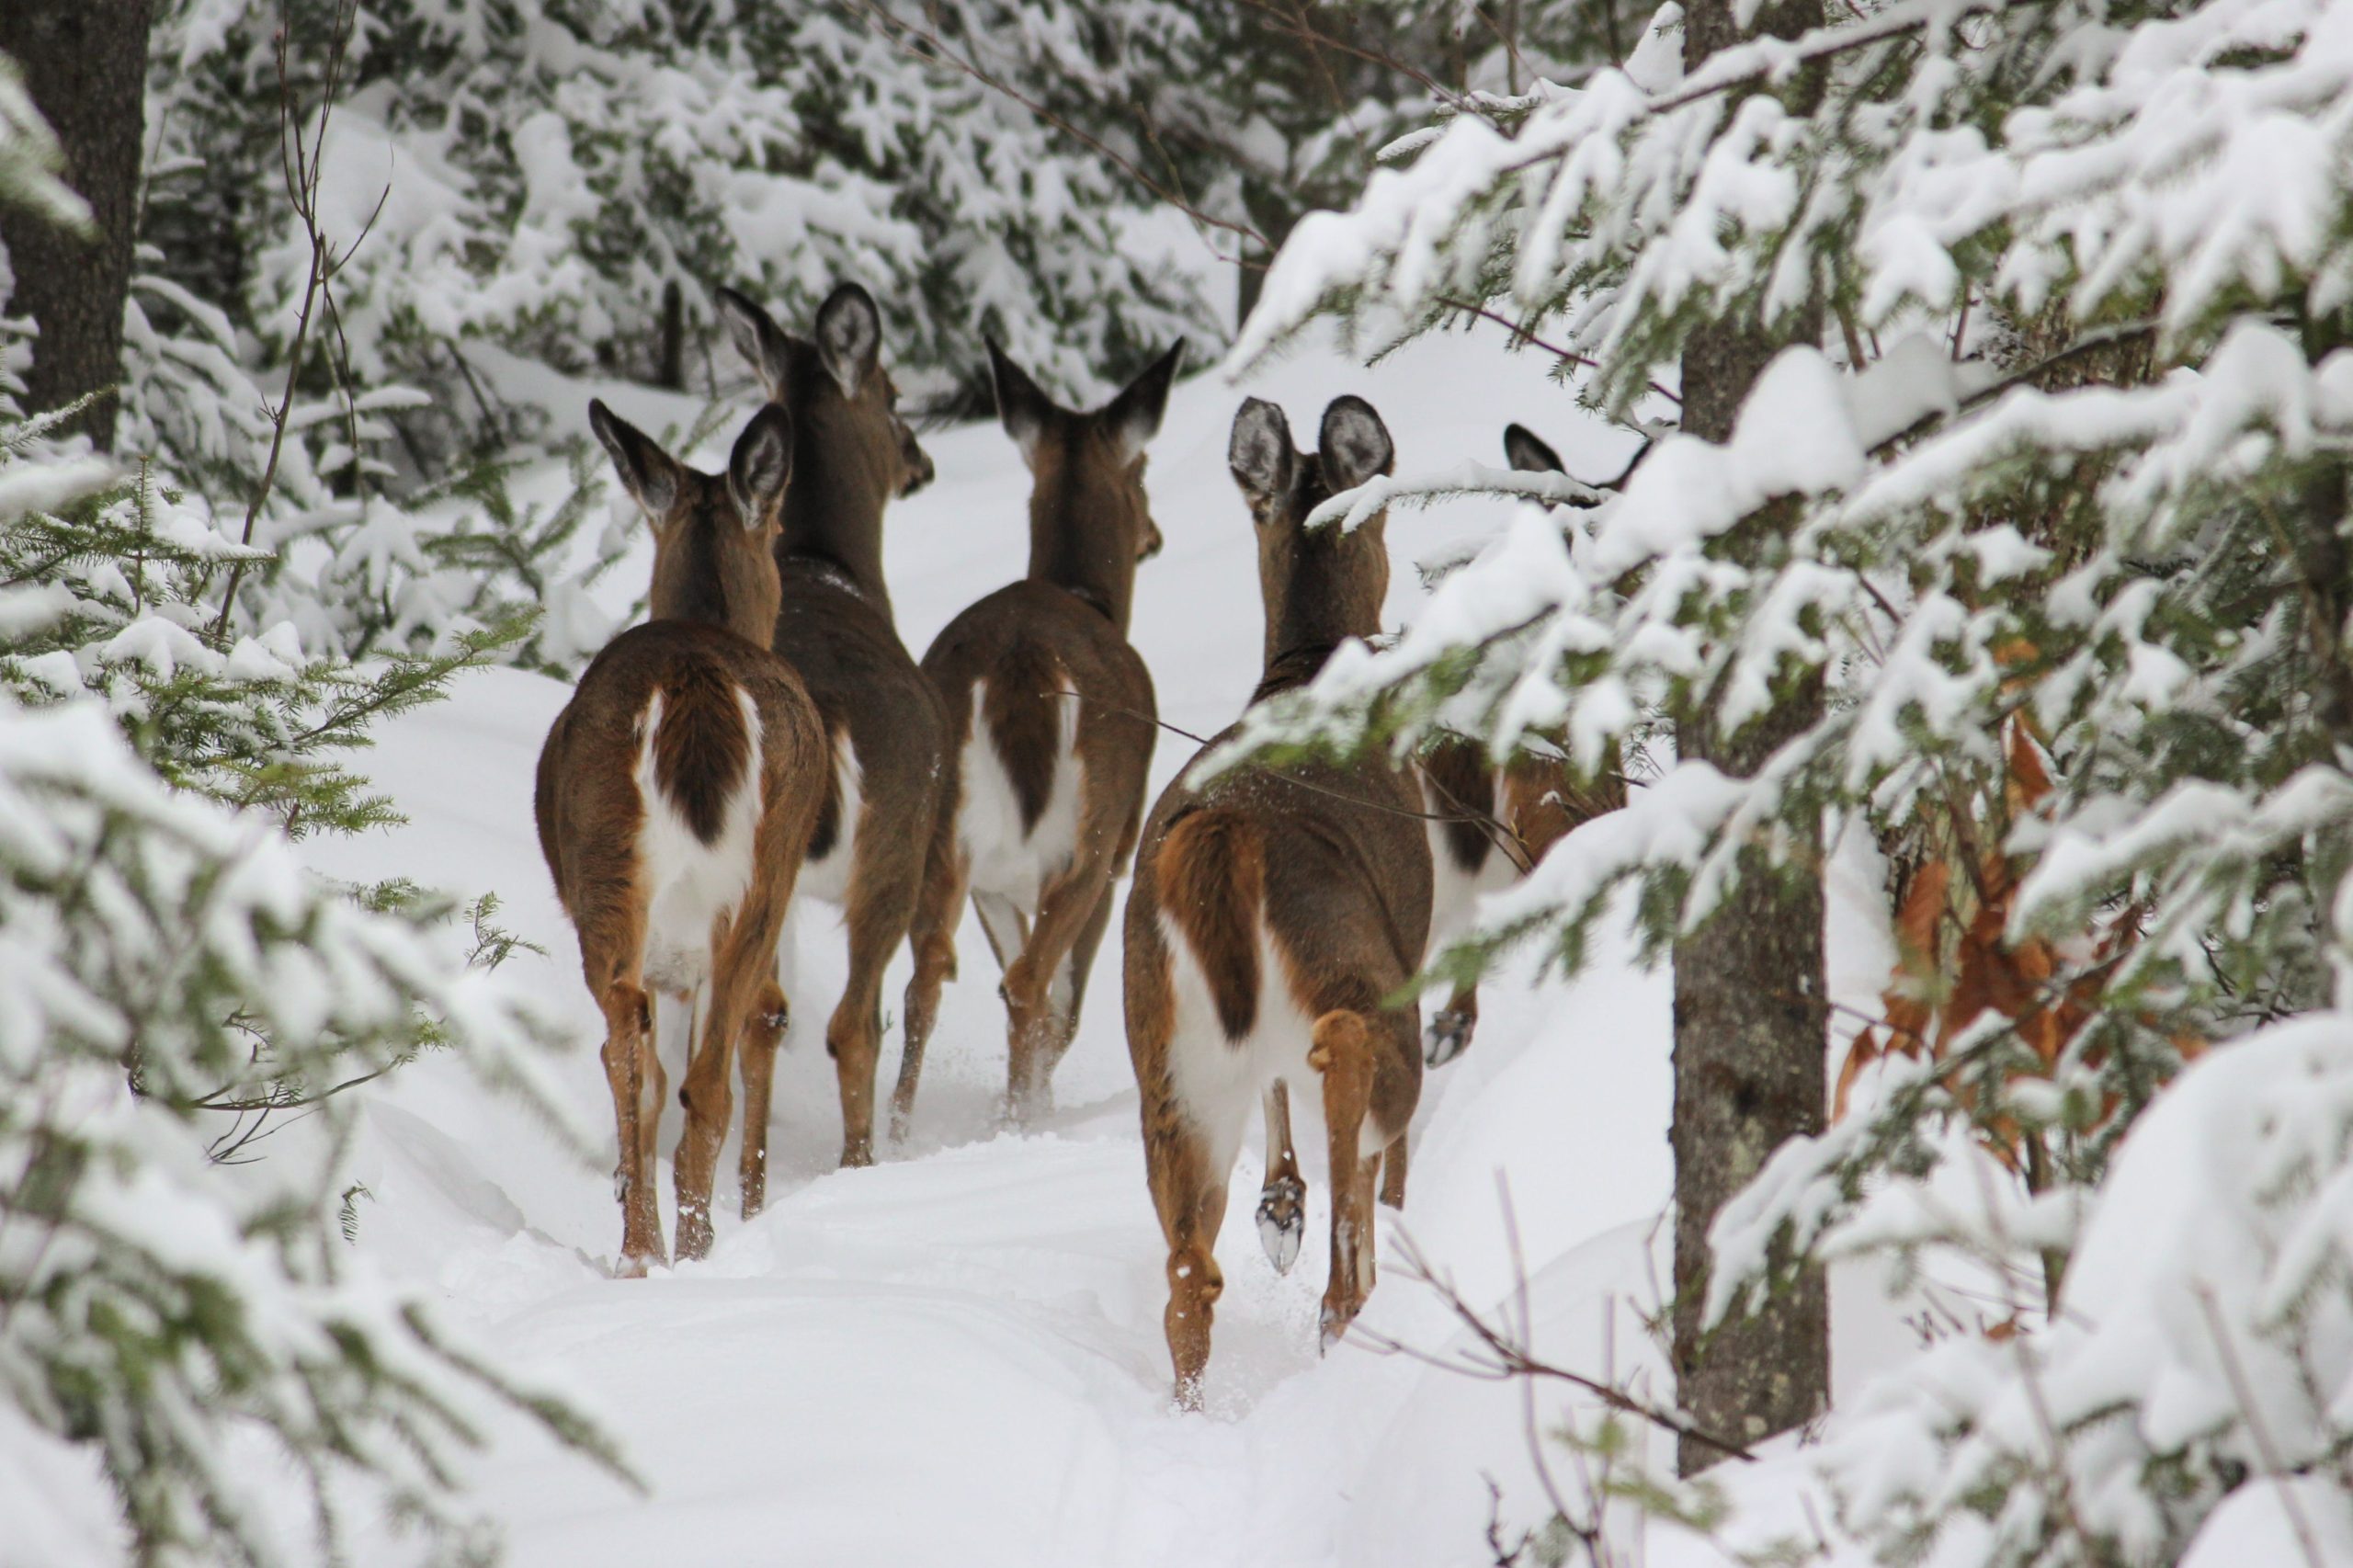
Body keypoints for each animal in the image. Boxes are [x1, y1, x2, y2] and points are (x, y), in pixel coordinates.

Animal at [535, 401, 827, 1273]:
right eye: (777, 531)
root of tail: (696, 675)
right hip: (755, 883)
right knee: (705, 1072)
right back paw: (684, 1254)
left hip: (612, 869)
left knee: (635, 1050)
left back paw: (645, 1253)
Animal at [712, 282, 942, 1168]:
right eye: (892, 393)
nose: (921, 459)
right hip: (894, 849)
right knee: (852, 1024)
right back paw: (859, 1166)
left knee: (757, 1014)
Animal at [895, 338, 1184, 1129]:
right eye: (1142, 471)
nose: (1155, 535)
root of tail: (1022, 663)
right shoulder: (1114, 858)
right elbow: (1065, 1007)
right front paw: (1037, 1101)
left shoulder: (995, 881)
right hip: (1086, 838)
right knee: (1028, 985)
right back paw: (1017, 1120)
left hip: (943, 836)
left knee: (927, 976)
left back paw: (894, 1131)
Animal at [1123, 394, 1432, 1406]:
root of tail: (1230, 828)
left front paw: (1281, 1204)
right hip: (1351, 958)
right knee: (1351, 1069)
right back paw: (1352, 1309)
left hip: (1167, 1060)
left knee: (1187, 1278)